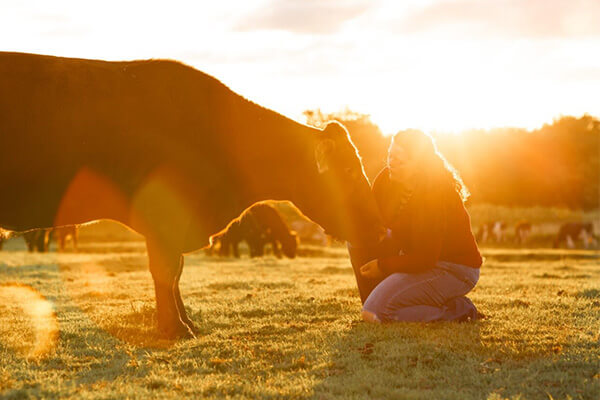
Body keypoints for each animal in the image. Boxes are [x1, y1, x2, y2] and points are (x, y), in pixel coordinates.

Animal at [0, 51, 384, 340]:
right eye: (349, 171)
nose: (376, 225)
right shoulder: (165, 217)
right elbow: (166, 271)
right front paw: (175, 329)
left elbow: (177, 272)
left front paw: (184, 322)